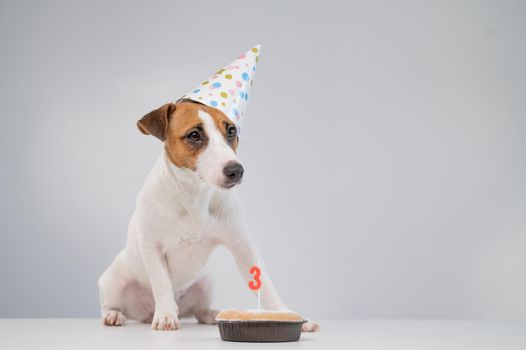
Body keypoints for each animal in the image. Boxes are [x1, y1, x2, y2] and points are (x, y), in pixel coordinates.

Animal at [99, 100, 322, 330]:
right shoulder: (151, 247)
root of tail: (146, 313)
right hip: (112, 282)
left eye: (231, 131)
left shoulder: (243, 247)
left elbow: (267, 287)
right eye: (194, 135)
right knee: (110, 304)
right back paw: (114, 315)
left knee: (198, 311)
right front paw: (166, 314)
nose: (237, 170)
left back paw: (213, 314)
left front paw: (287, 314)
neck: (194, 195)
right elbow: (161, 283)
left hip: (205, 284)